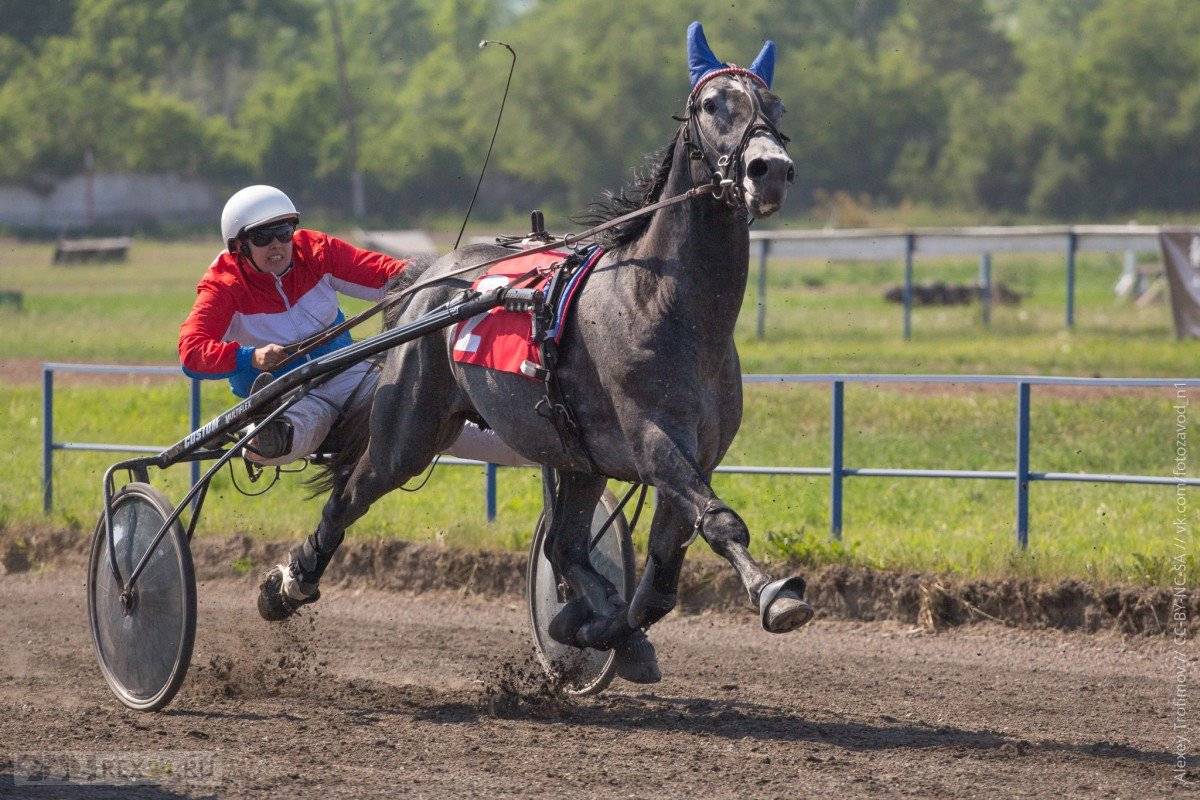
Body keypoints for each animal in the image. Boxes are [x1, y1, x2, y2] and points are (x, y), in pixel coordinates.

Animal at [276, 23, 811, 681]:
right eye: (713, 105)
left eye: (776, 108)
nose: (770, 170)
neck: (667, 307)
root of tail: (435, 275)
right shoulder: (655, 442)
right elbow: (719, 521)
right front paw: (775, 594)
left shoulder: (694, 457)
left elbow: (660, 581)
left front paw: (597, 629)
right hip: (411, 428)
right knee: (353, 492)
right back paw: (289, 582)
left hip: (575, 452)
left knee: (563, 542)